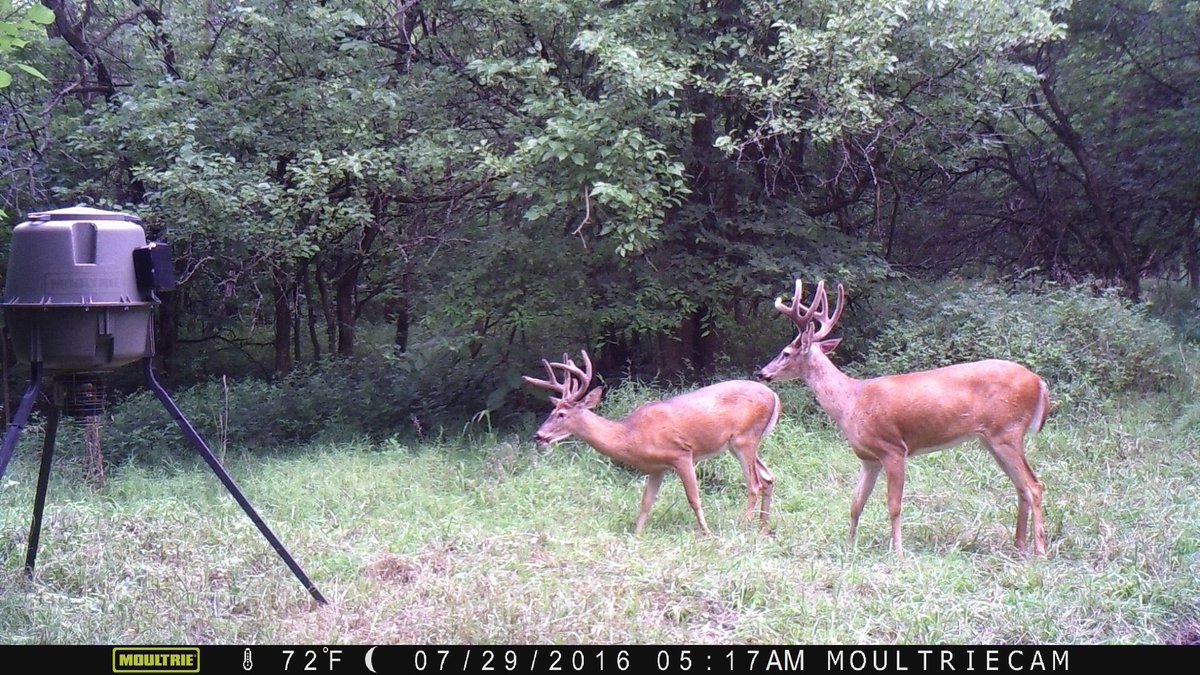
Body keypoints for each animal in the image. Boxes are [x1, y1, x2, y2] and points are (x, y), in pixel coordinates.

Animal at [523, 350, 781, 535]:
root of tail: (775, 397)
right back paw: (763, 528)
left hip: (744, 439)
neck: (631, 435)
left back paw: (744, 526)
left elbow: (694, 498)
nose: (538, 435)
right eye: (552, 410)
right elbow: (646, 503)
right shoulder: (658, 468)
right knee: (769, 477)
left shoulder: (682, 453)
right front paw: (636, 536)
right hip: (743, 443)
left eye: (561, 414)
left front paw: (707, 533)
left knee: (754, 484)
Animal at [756, 279, 1050, 558]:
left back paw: (1039, 551)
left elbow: (894, 505)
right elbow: (856, 503)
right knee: (1021, 486)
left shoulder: (894, 449)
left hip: (1007, 432)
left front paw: (897, 552)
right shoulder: (868, 458)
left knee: (1034, 485)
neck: (852, 402)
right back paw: (1019, 545)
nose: (763, 373)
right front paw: (849, 546)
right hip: (992, 439)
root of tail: (1039, 382)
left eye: (786, 352)